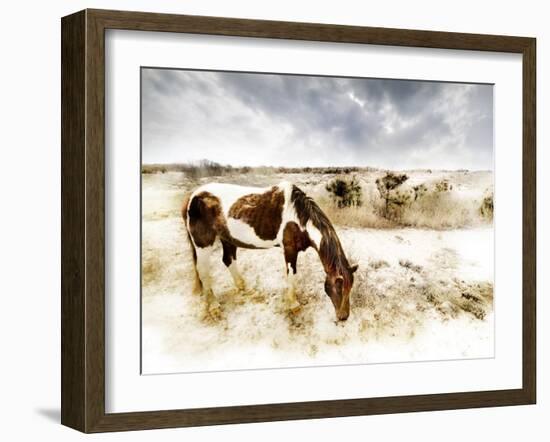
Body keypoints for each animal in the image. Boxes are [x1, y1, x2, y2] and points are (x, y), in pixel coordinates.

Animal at [183, 180, 360, 322]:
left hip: (227, 239)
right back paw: (214, 306)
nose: (343, 317)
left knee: (228, 260)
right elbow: (292, 275)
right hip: (203, 244)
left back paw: (244, 288)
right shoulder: (289, 250)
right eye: (338, 287)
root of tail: (192, 197)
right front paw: (293, 305)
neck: (298, 218)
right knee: (203, 272)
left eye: (350, 288)